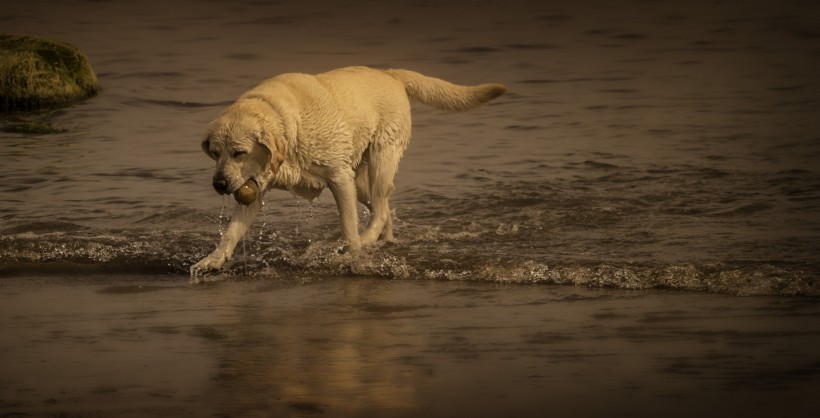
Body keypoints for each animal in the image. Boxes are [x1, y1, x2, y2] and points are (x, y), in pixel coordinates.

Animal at [191, 66, 506, 272]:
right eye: (215, 153)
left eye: (239, 152)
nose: (218, 185)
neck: (288, 127)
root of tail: (390, 73)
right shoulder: (256, 188)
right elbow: (232, 231)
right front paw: (213, 260)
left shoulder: (339, 177)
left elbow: (348, 227)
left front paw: (353, 256)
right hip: (362, 183)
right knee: (385, 210)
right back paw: (383, 242)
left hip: (381, 160)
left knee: (379, 211)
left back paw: (368, 241)